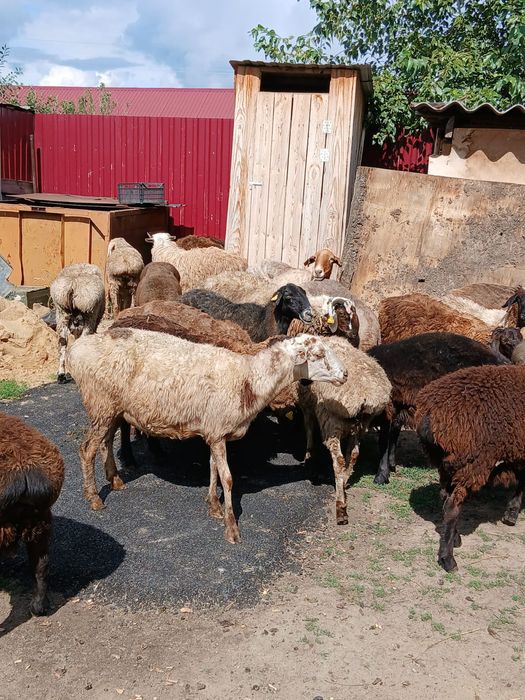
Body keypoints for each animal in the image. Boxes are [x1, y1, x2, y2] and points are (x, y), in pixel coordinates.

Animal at [67, 328, 347, 542]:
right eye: (318, 354)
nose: (345, 375)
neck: (248, 380)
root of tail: (77, 348)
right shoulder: (218, 431)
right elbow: (229, 479)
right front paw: (231, 528)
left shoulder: (214, 432)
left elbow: (213, 469)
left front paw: (213, 506)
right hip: (100, 402)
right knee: (86, 449)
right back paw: (94, 498)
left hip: (111, 408)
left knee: (104, 442)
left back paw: (115, 479)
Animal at [298, 335, 392, 525]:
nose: (304, 381)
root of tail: (366, 397)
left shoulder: (308, 404)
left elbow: (309, 428)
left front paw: (309, 456)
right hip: (361, 426)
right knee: (354, 454)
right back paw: (345, 481)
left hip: (331, 423)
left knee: (339, 461)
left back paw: (341, 507)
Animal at [368, 332, 509, 486]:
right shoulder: (398, 408)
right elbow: (393, 435)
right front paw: (391, 465)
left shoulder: (387, 408)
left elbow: (384, 442)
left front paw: (381, 475)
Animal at [415, 364, 525, 571]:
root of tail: (430, 415)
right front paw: (512, 512)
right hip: (473, 462)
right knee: (452, 506)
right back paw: (448, 559)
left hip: (447, 464)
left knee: (445, 498)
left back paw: (454, 538)